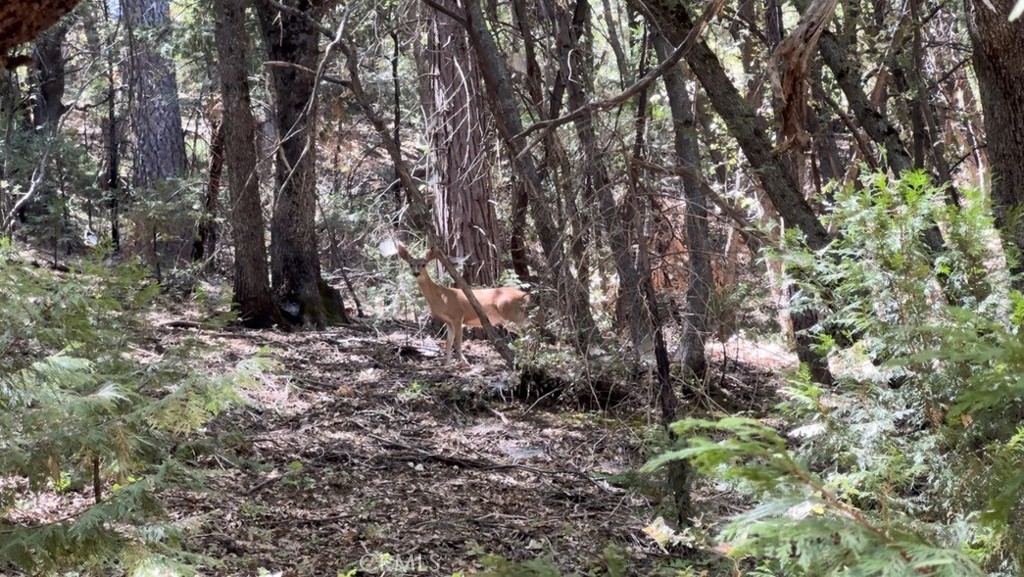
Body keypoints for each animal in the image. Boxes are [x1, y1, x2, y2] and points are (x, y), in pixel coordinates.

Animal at [395, 244, 528, 364]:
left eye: (423, 264)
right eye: (410, 264)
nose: (416, 273)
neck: (440, 297)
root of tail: (524, 295)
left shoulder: (457, 316)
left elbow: (458, 343)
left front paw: (462, 364)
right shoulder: (448, 321)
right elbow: (448, 343)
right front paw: (447, 364)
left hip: (512, 315)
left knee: (525, 331)